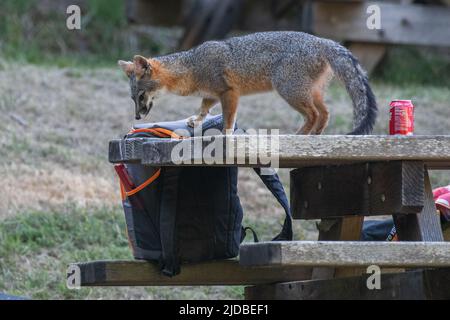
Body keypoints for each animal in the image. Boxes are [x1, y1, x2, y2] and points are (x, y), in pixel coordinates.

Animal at [118, 31, 376, 134]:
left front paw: (226, 135)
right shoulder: (211, 94)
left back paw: (301, 135)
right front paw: (196, 120)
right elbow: (203, 108)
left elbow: (228, 118)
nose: (137, 117)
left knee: (313, 114)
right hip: (309, 92)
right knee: (325, 113)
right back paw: (315, 135)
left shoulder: (229, 92)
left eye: (141, 97)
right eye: (132, 98)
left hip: (289, 91)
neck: (191, 66)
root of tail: (322, 40)